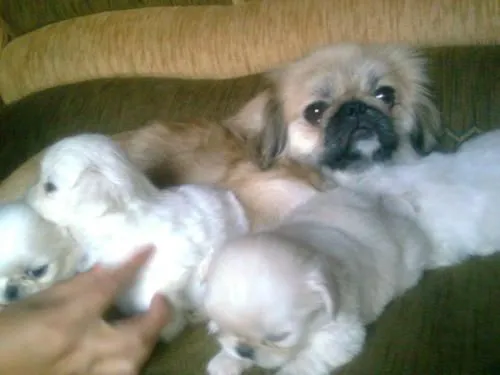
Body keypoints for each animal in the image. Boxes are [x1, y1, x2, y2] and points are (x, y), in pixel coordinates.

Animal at [201, 188, 432, 375]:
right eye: (223, 328)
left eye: (278, 337)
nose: (244, 350)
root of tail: (384, 210)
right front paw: (227, 360)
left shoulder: (341, 334)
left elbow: (309, 359)